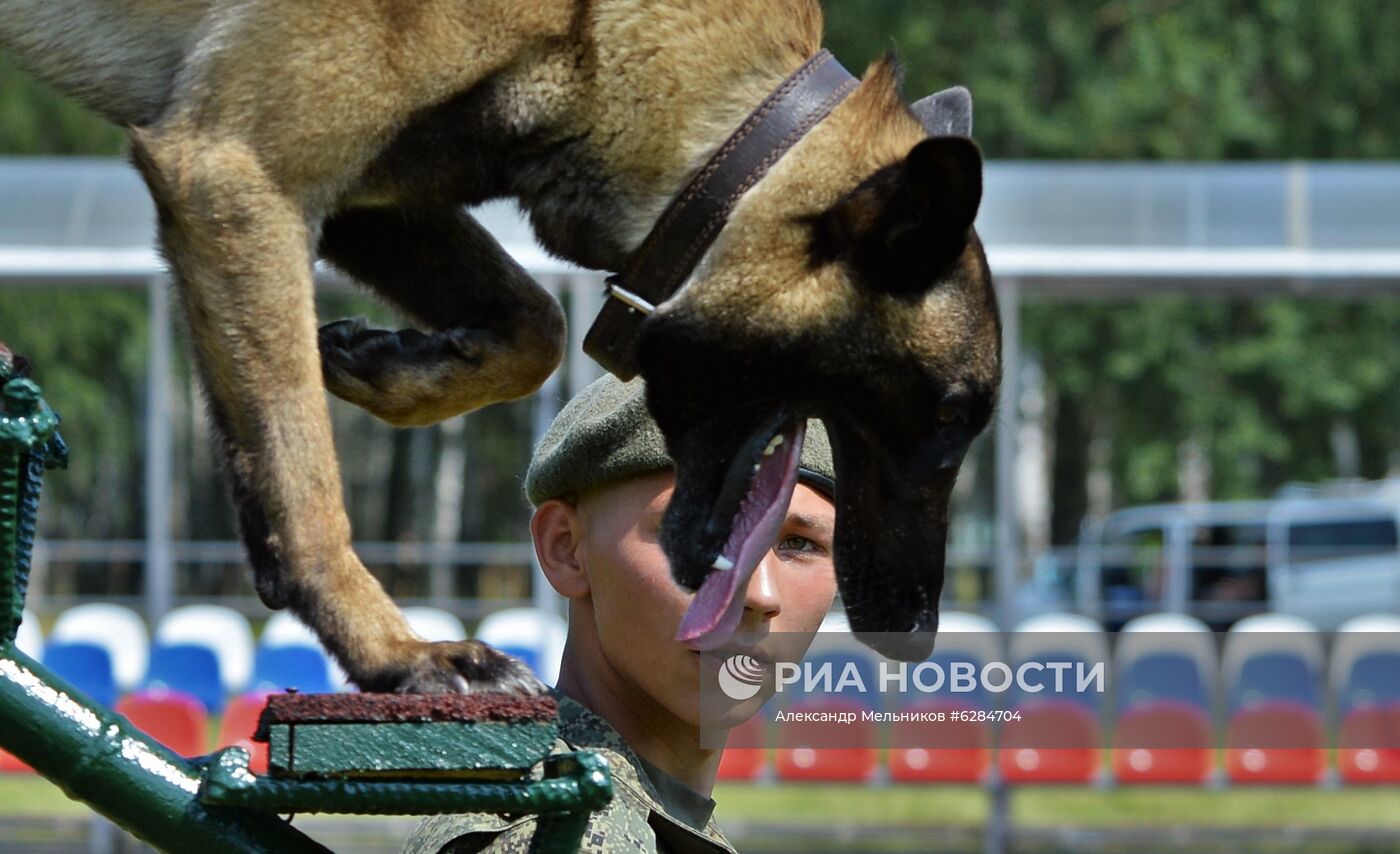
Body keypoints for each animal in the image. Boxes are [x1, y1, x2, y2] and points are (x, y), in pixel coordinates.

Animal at [2, 0, 1008, 688]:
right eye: (953, 417)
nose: (919, 632)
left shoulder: (362, 196)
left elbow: (538, 326)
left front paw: (384, 363)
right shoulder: (235, 172)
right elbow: (303, 477)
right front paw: (394, 650)